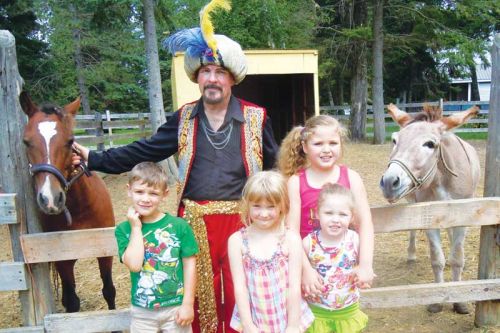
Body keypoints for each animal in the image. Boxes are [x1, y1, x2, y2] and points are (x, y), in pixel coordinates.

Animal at [19, 91, 116, 314]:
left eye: (70, 141)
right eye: (26, 142)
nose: (50, 199)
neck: (81, 209)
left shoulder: (105, 250)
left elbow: (109, 291)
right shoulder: (63, 261)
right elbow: (71, 301)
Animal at [378, 104, 480, 314]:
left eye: (430, 144)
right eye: (394, 140)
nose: (389, 182)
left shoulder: (463, 215)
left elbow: (457, 257)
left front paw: (459, 300)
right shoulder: (429, 217)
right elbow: (437, 259)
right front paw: (437, 299)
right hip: (412, 202)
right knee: (412, 231)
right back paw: (411, 254)